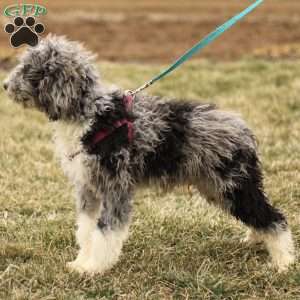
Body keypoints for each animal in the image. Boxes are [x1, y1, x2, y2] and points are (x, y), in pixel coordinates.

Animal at [2, 35, 296, 274]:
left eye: (29, 70)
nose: (4, 85)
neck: (90, 115)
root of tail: (244, 129)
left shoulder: (115, 187)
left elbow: (105, 231)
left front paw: (94, 268)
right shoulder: (88, 187)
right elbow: (86, 230)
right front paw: (81, 262)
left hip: (233, 186)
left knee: (274, 219)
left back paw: (284, 262)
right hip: (219, 188)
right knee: (261, 217)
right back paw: (257, 240)